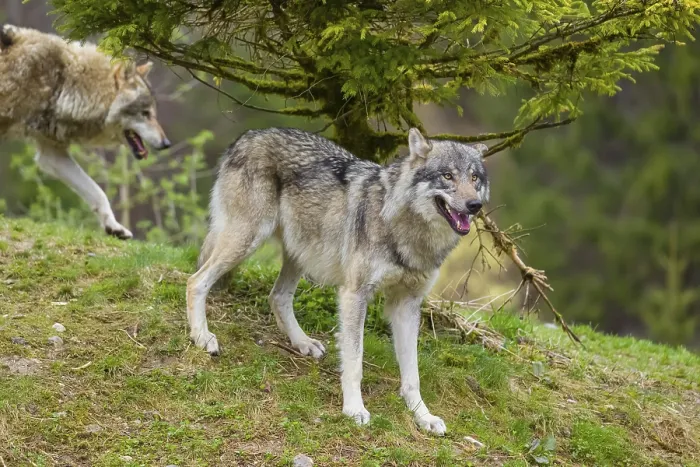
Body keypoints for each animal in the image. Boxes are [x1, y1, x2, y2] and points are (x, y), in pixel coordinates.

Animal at [0, 24, 171, 239]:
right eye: (145, 114)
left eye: (153, 113)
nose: (167, 144)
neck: (62, 83)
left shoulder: (52, 154)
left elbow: (98, 192)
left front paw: (114, 227)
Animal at [188, 127, 489, 435]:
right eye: (447, 176)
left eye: (474, 178)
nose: (474, 205)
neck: (402, 227)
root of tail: (247, 136)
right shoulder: (354, 294)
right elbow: (354, 361)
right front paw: (355, 409)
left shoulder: (406, 304)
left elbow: (412, 374)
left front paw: (423, 416)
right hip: (248, 240)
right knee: (195, 281)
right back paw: (203, 338)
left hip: (301, 252)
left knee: (278, 296)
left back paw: (303, 342)